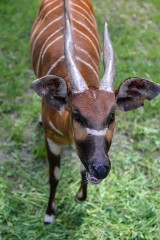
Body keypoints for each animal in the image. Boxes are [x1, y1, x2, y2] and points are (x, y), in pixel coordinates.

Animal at [30, 0, 160, 223]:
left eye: (112, 115)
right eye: (76, 114)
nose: (101, 169)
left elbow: (82, 168)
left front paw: (80, 197)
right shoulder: (51, 139)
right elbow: (54, 175)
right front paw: (49, 214)